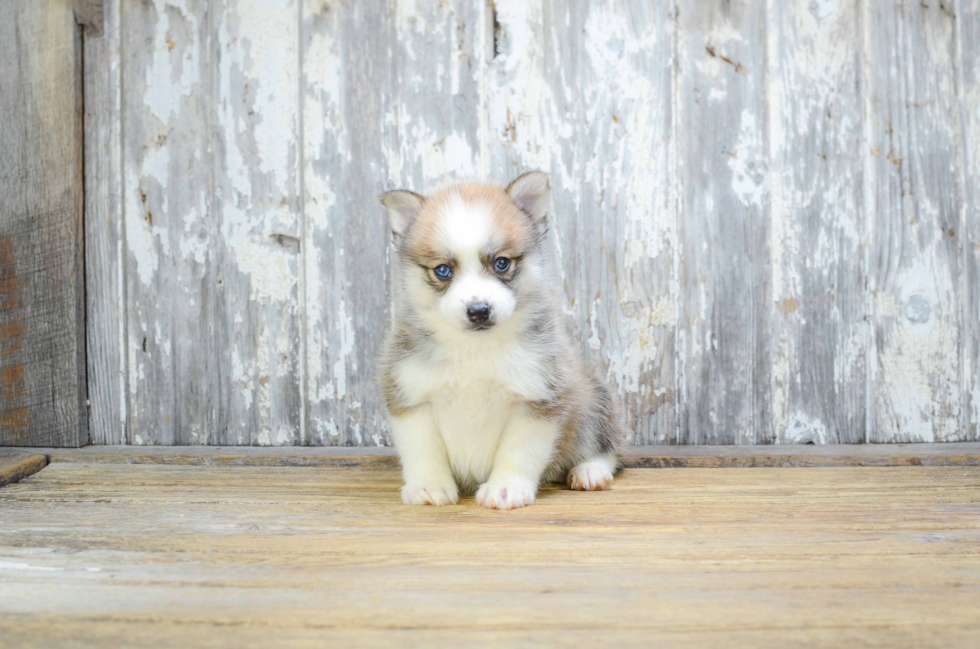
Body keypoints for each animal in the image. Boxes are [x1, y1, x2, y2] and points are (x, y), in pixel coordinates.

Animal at [378, 172, 624, 506]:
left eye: (502, 263)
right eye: (442, 270)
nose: (479, 311)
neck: (474, 350)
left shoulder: (537, 398)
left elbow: (518, 451)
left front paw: (507, 488)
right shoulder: (410, 396)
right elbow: (423, 449)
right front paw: (428, 486)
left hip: (592, 401)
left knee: (604, 445)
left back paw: (590, 471)